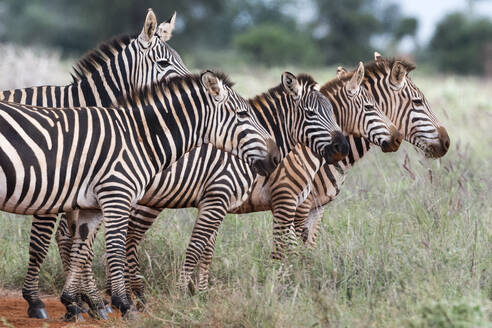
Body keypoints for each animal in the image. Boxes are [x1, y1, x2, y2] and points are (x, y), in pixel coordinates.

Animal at [0, 8, 194, 320]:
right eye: (163, 63)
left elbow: (81, 242)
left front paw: (85, 301)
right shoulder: (52, 185)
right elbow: (45, 242)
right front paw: (39, 301)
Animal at [0, 70, 276, 318]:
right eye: (242, 114)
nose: (274, 159)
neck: (140, 139)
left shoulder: (92, 206)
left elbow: (82, 249)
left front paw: (72, 301)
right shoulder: (117, 196)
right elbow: (116, 248)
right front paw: (124, 304)